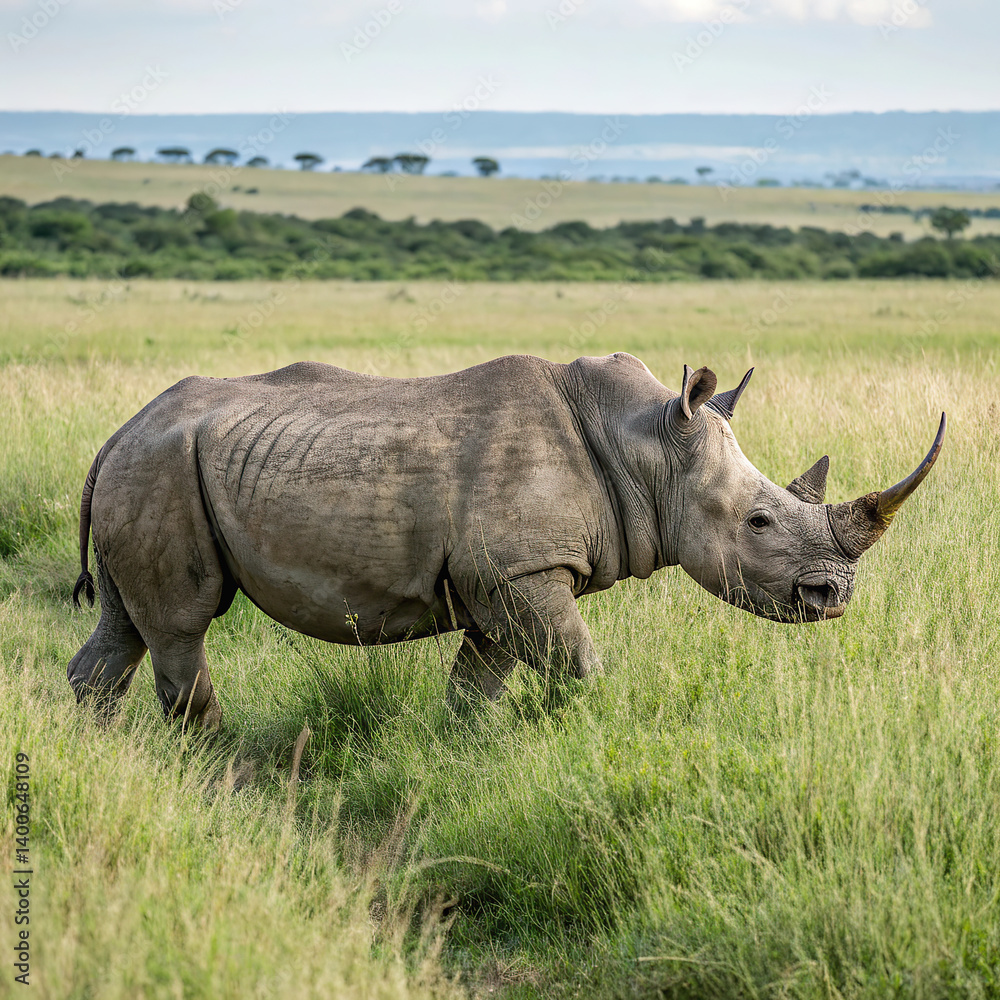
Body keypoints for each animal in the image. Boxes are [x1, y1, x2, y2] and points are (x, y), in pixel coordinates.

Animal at [67, 353, 944, 728]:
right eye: (758, 523)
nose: (835, 597)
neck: (646, 448)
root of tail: (115, 434)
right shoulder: (521, 569)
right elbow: (578, 665)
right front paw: (576, 734)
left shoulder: (504, 576)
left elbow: (478, 683)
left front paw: (467, 753)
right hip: (159, 468)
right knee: (181, 627)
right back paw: (215, 762)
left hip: (148, 468)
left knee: (125, 627)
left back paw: (102, 746)